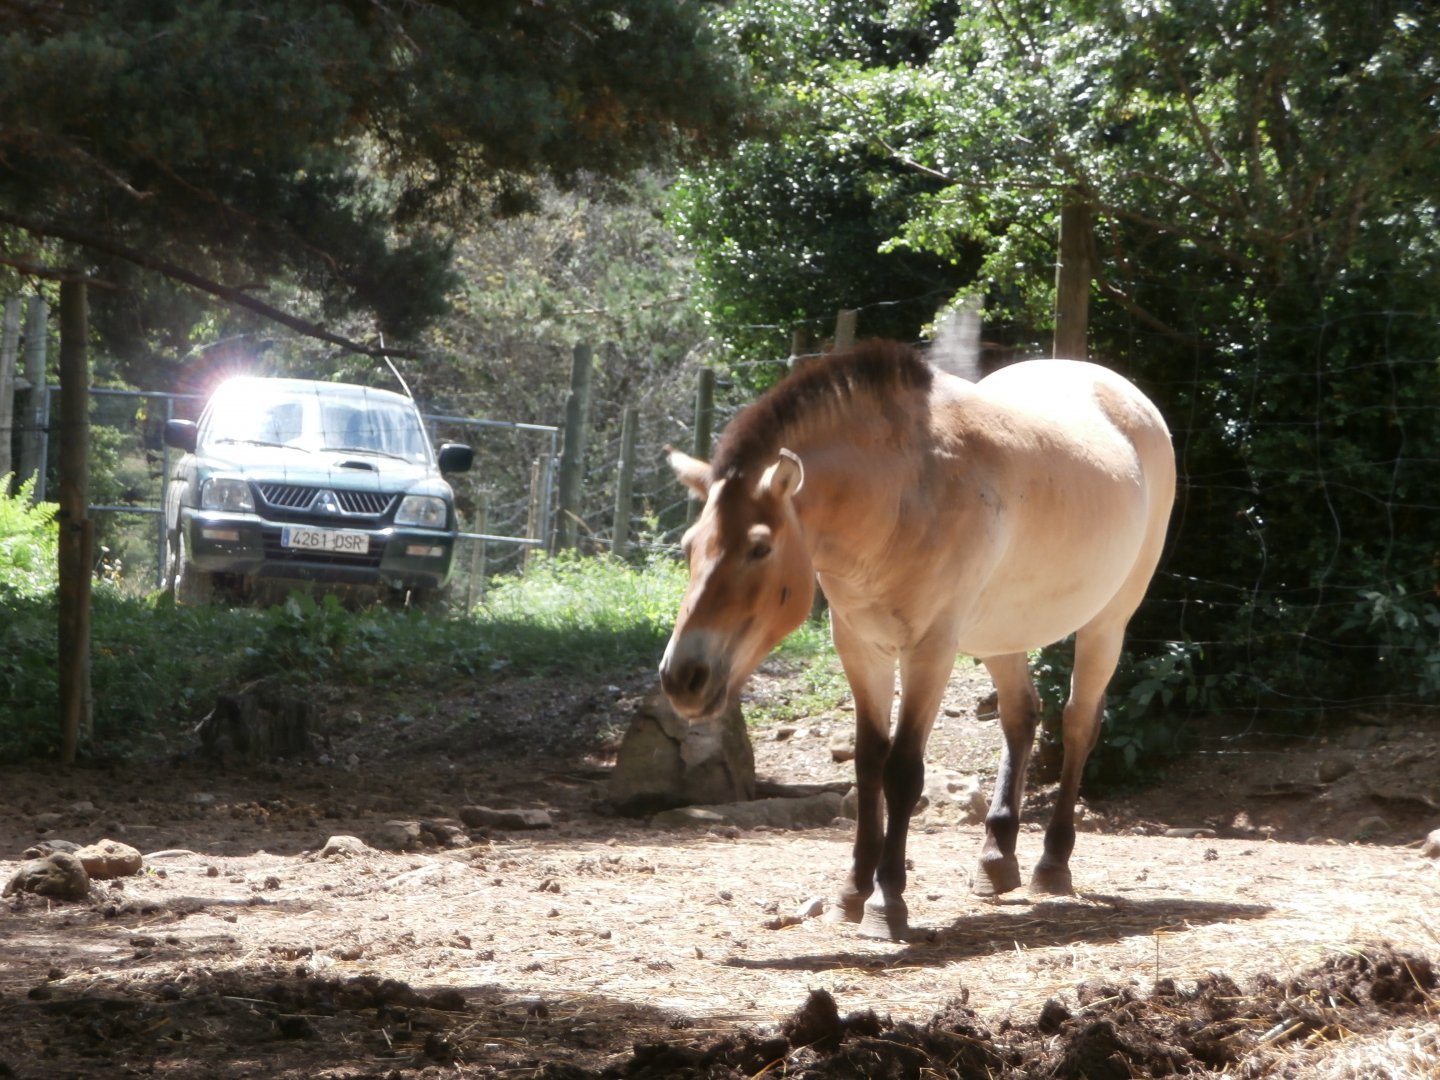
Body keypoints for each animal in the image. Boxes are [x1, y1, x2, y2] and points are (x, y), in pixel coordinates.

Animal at [659, 339, 1176, 940]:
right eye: (689, 545)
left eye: (759, 548)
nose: (683, 678)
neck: (902, 493)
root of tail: (1129, 397)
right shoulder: (861, 649)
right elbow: (867, 763)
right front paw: (851, 891)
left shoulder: (930, 650)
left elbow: (903, 770)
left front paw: (887, 902)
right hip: (1002, 632)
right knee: (1021, 716)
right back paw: (996, 858)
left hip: (1107, 622)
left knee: (1077, 724)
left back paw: (1052, 863)